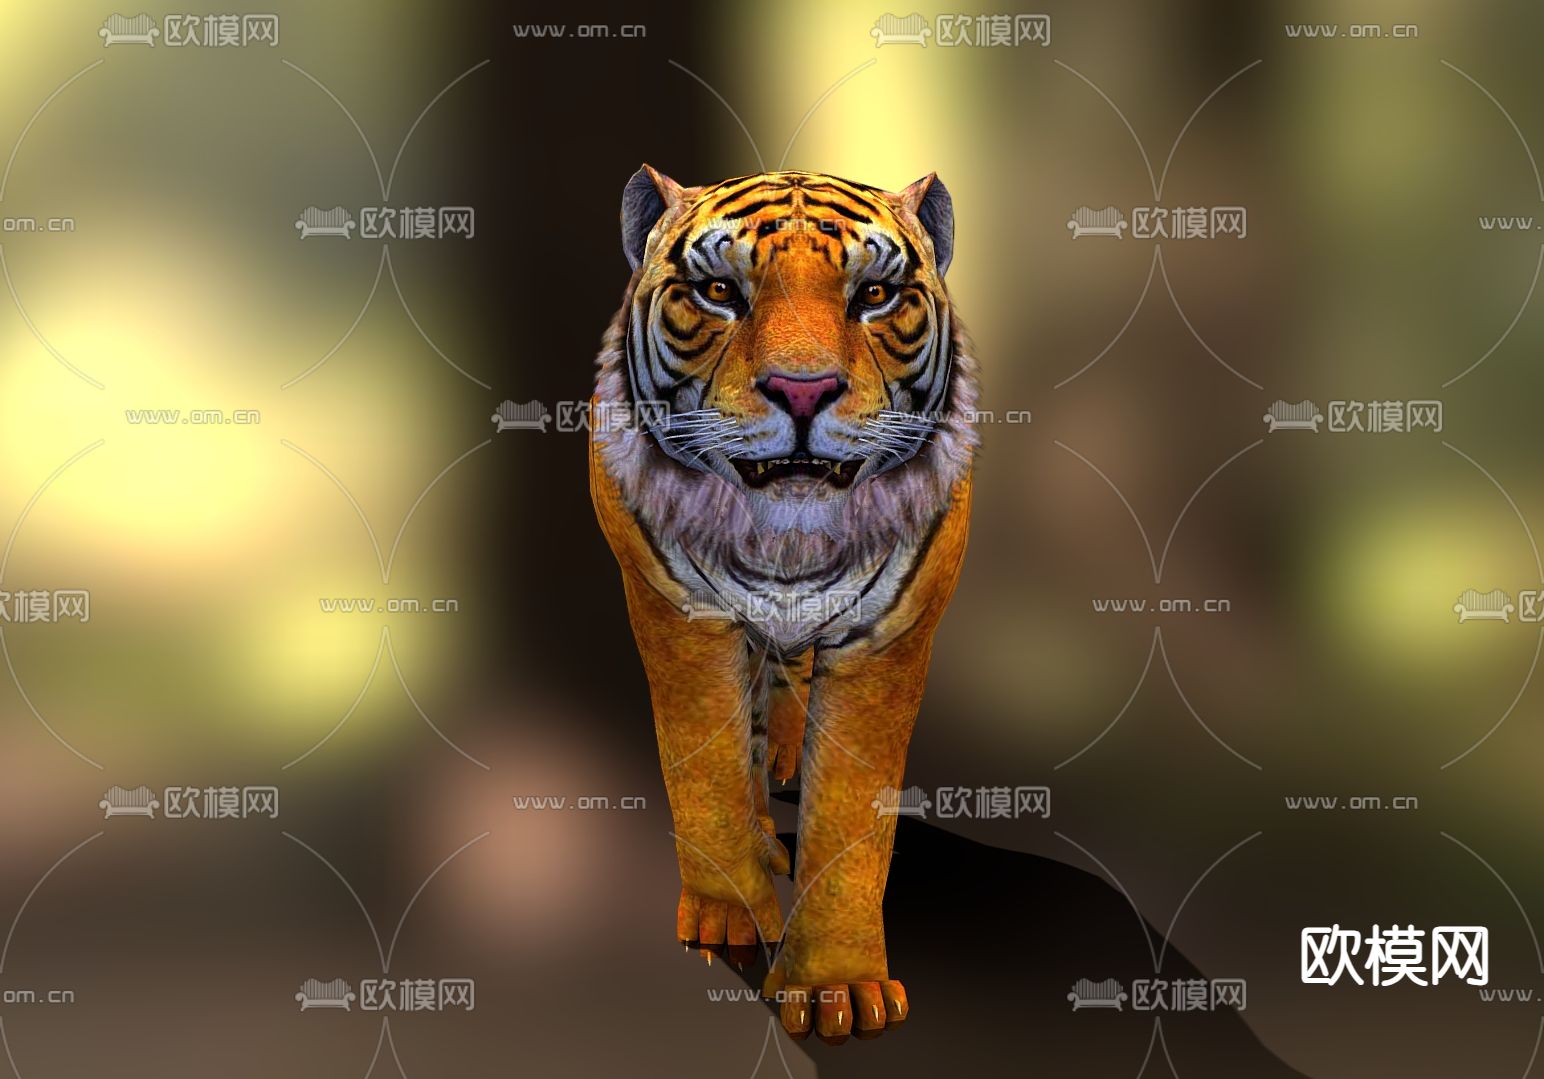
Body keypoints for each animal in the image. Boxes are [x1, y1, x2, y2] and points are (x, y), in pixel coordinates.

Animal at [589, 166, 977, 1041]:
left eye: (875, 294)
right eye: (719, 291)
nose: (804, 391)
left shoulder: (885, 637)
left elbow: (851, 819)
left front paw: (838, 989)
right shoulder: (681, 614)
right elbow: (704, 769)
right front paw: (731, 915)